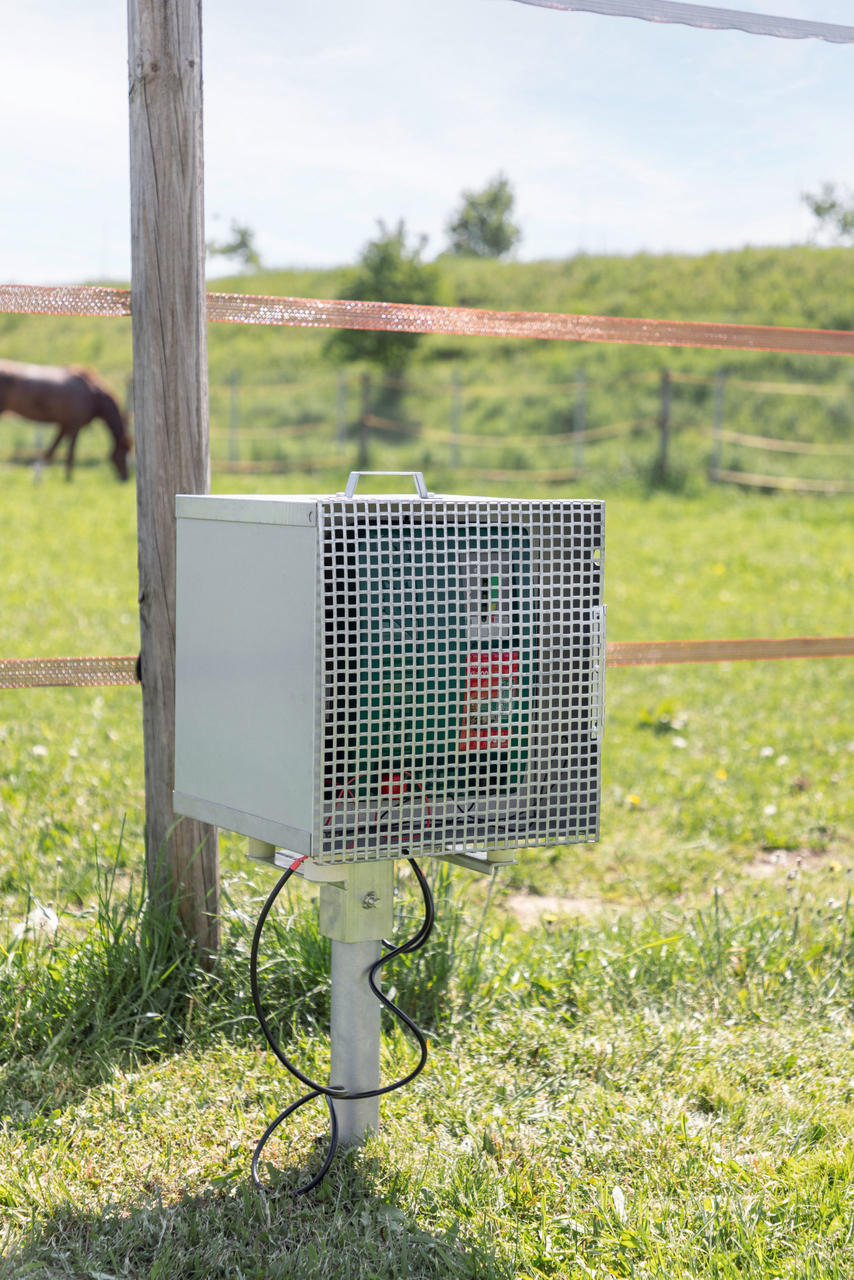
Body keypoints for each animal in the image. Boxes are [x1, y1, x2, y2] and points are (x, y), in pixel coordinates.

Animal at [0, 360, 132, 481]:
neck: (93, 394)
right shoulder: (75, 425)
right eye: (123, 454)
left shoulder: (64, 425)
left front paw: (37, 475)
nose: (125, 478)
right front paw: (68, 479)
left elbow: (52, 449)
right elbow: (70, 453)